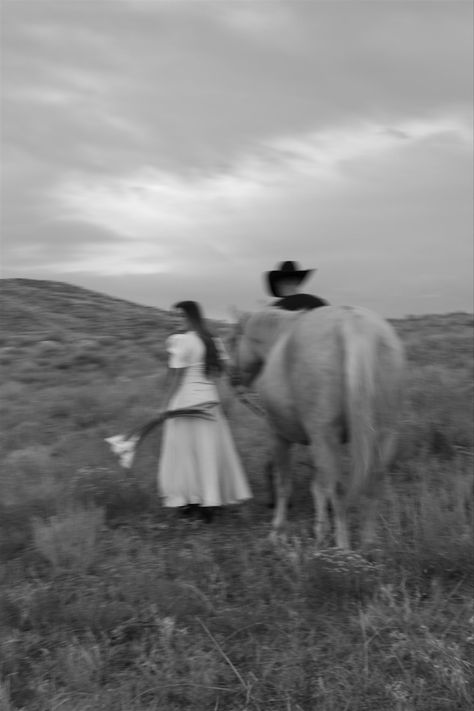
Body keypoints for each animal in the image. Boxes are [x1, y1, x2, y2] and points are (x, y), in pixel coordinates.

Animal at [230, 308, 404, 552]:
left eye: (233, 339)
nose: (232, 377)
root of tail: (352, 324)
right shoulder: (315, 443)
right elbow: (317, 487)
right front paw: (320, 530)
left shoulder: (278, 436)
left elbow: (284, 484)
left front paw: (278, 531)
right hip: (384, 434)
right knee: (373, 483)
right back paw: (369, 545)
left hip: (326, 437)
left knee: (337, 489)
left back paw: (342, 550)